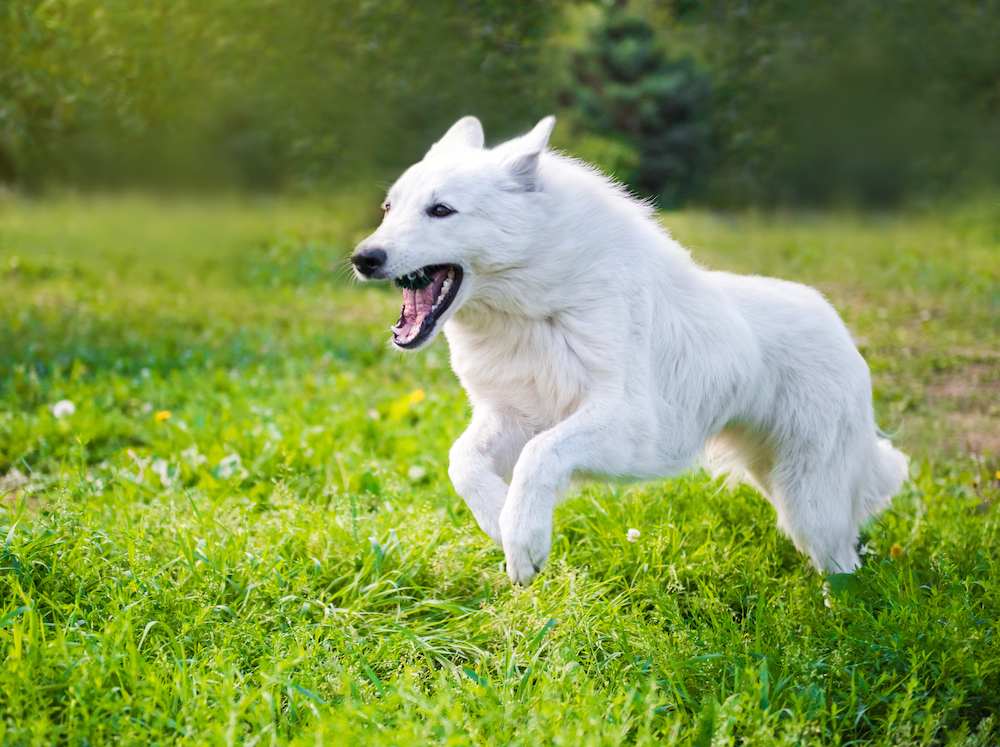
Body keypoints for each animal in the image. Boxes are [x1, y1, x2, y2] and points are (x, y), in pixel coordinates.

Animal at [352, 115, 908, 584]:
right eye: (388, 209)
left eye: (440, 210)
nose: (362, 258)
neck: (538, 308)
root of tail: (840, 329)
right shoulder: (513, 417)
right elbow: (462, 462)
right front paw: (499, 520)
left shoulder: (630, 430)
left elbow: (540, 455)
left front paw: (524, 542)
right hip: (778, 481)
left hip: (811, 503)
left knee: (846, 564)